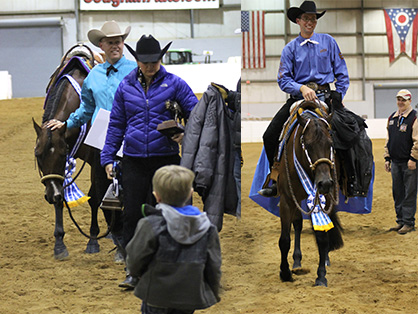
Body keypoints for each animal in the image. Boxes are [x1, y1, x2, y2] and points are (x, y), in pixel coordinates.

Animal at [33, 44, 104, 260]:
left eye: (62, 153)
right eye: (38, 155)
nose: (50, 195)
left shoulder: (96, 159)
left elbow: (95, 197)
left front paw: (92, 240)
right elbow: (60, 198)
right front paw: (59, 243)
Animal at [278, 101, 342, 288]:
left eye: (330, 143)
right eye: (307, 144)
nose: (325, 183)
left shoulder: (323, 199)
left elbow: (322, 237)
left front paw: (321, 276)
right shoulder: (286, 200)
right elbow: (285, 239)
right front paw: (285, 272)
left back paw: (325, 259)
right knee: (298, 224)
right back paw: (296, 262)